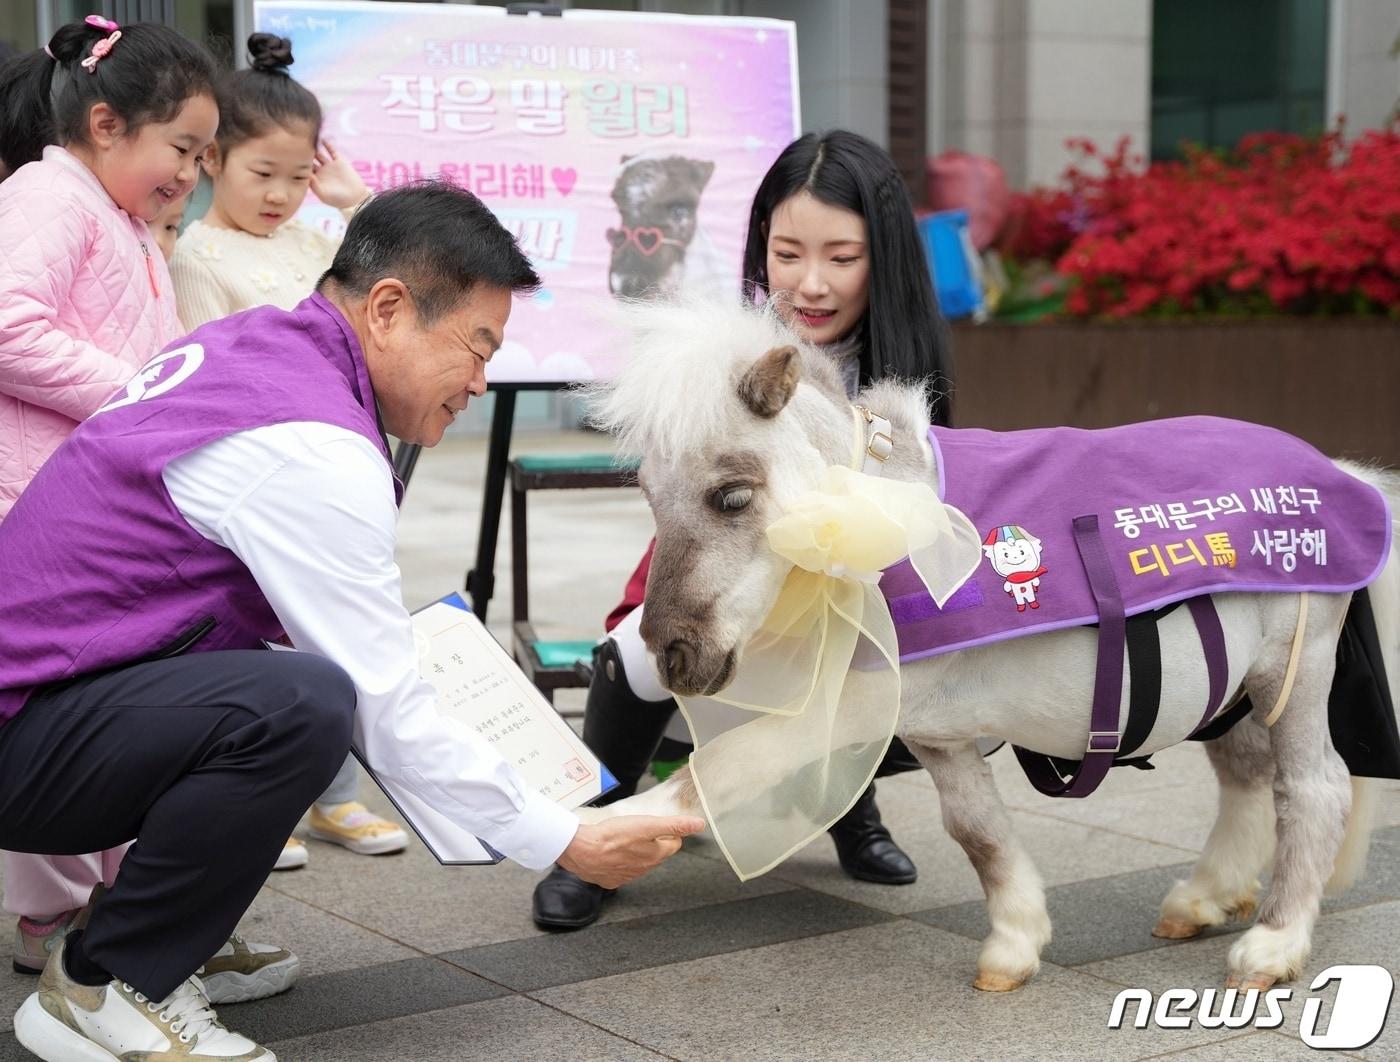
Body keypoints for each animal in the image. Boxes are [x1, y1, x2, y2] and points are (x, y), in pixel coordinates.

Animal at [585, 299, 1400, 996]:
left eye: (731, 496)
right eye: (648, 494)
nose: (672, 656)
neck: (885, 528)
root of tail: (1342, 473)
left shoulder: (854, 709)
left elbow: (722, 769)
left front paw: (608, 829)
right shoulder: (936, 733)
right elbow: (978, 834)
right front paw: (1014, 945)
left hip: (1293, 671)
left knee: (1314, 788)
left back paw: (1273, 945)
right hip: (1228, 687)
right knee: (1246, 778)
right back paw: (1202, 900)